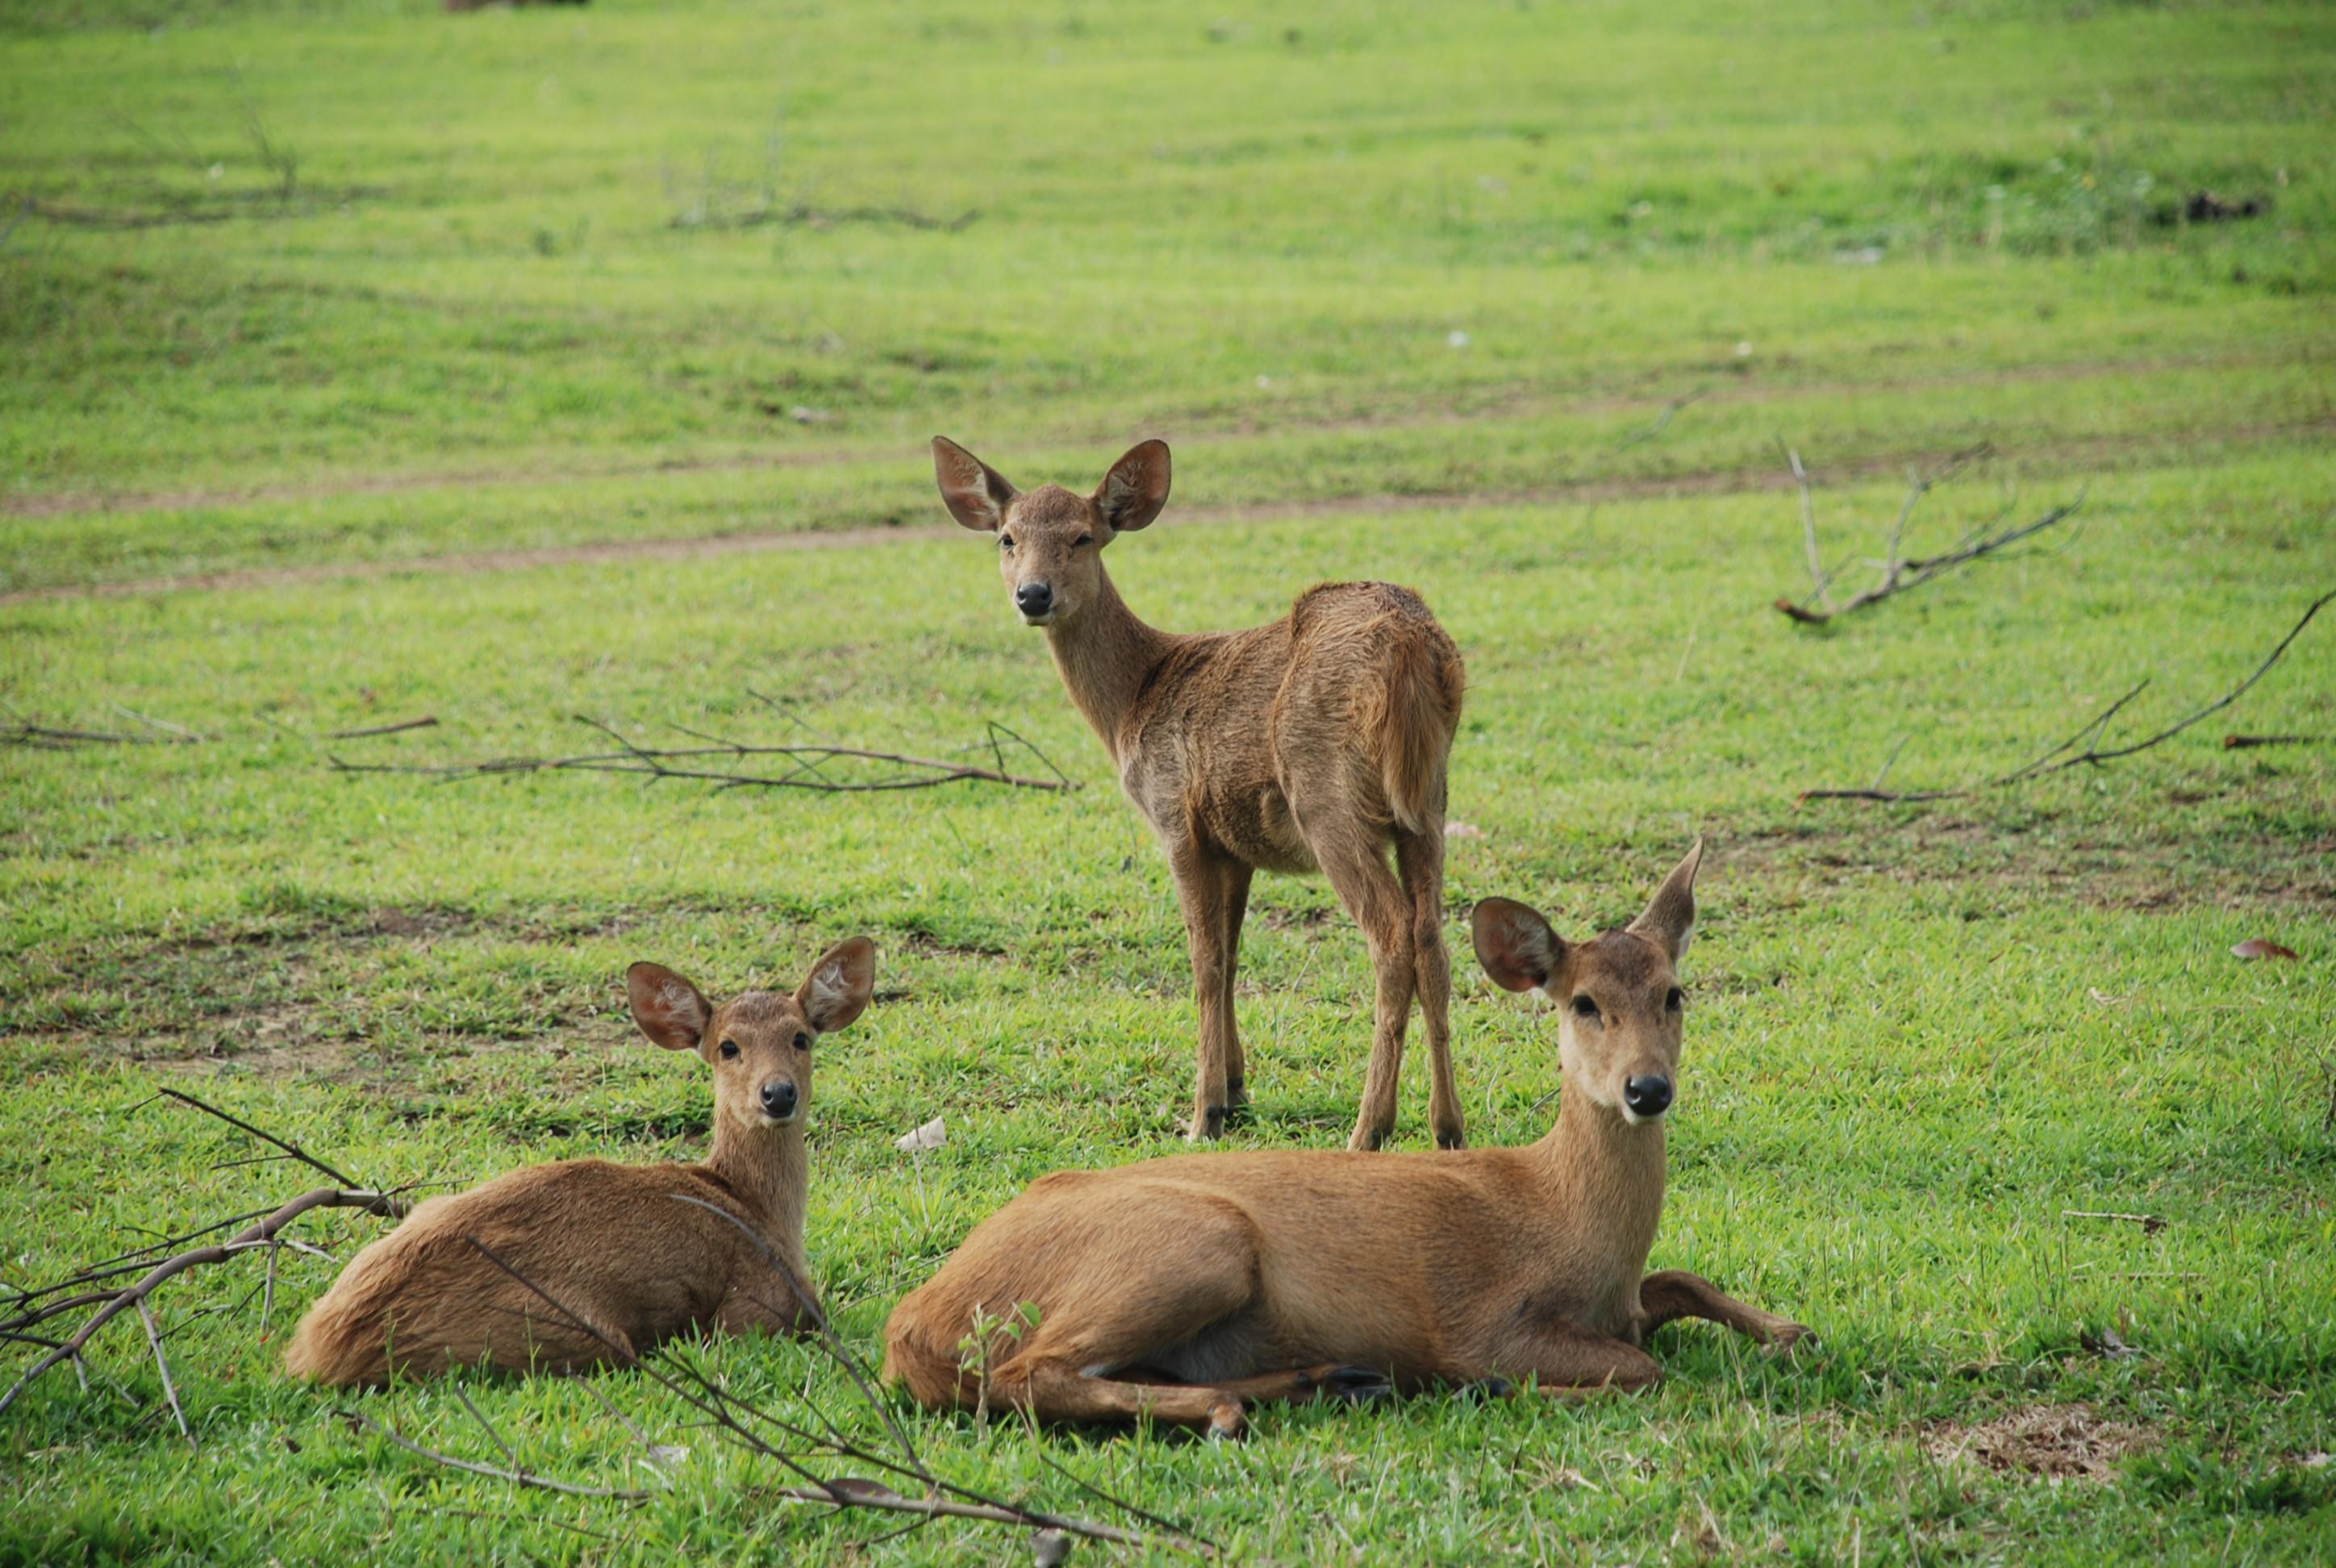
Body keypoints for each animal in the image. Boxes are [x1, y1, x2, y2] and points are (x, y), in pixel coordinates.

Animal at [287, 934, 874, 1383]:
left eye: (801, 1037)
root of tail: (318, 1351)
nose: (778, 1094)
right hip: (570, 1331)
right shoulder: (754, 1306)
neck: (758, 1209)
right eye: (728, 1047)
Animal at [882, 845, 1812, 1439]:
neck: (1569, 1217)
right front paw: (1502, 1390)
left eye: (1674, 993)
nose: (1646, 1090)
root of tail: (911, 1324)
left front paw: (1788, 1329)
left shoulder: (1626, 1298)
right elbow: (1641, 1368)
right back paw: (1241, 1409)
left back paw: (1330, 1381)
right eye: (1583, 1002)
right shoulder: (1483, 1320)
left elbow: (1682, 1281)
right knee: (1024, 1373)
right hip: (1198, 1242)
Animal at [934, 439, 1466, 1154]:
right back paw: (1448, 1127)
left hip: (1324, 792)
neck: (1135, 698)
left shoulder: (1175, 818)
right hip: (1428, 803)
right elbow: (1234, 955)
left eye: (1082, 536)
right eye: (1007, 537)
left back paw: (1368, 1130)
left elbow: (1204, 961)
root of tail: (1413, 649)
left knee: (1392, 935)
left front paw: (1203, 1114)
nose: (1033, 594)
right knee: (1434, 936)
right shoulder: (1234, 843)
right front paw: (1238, 1092)